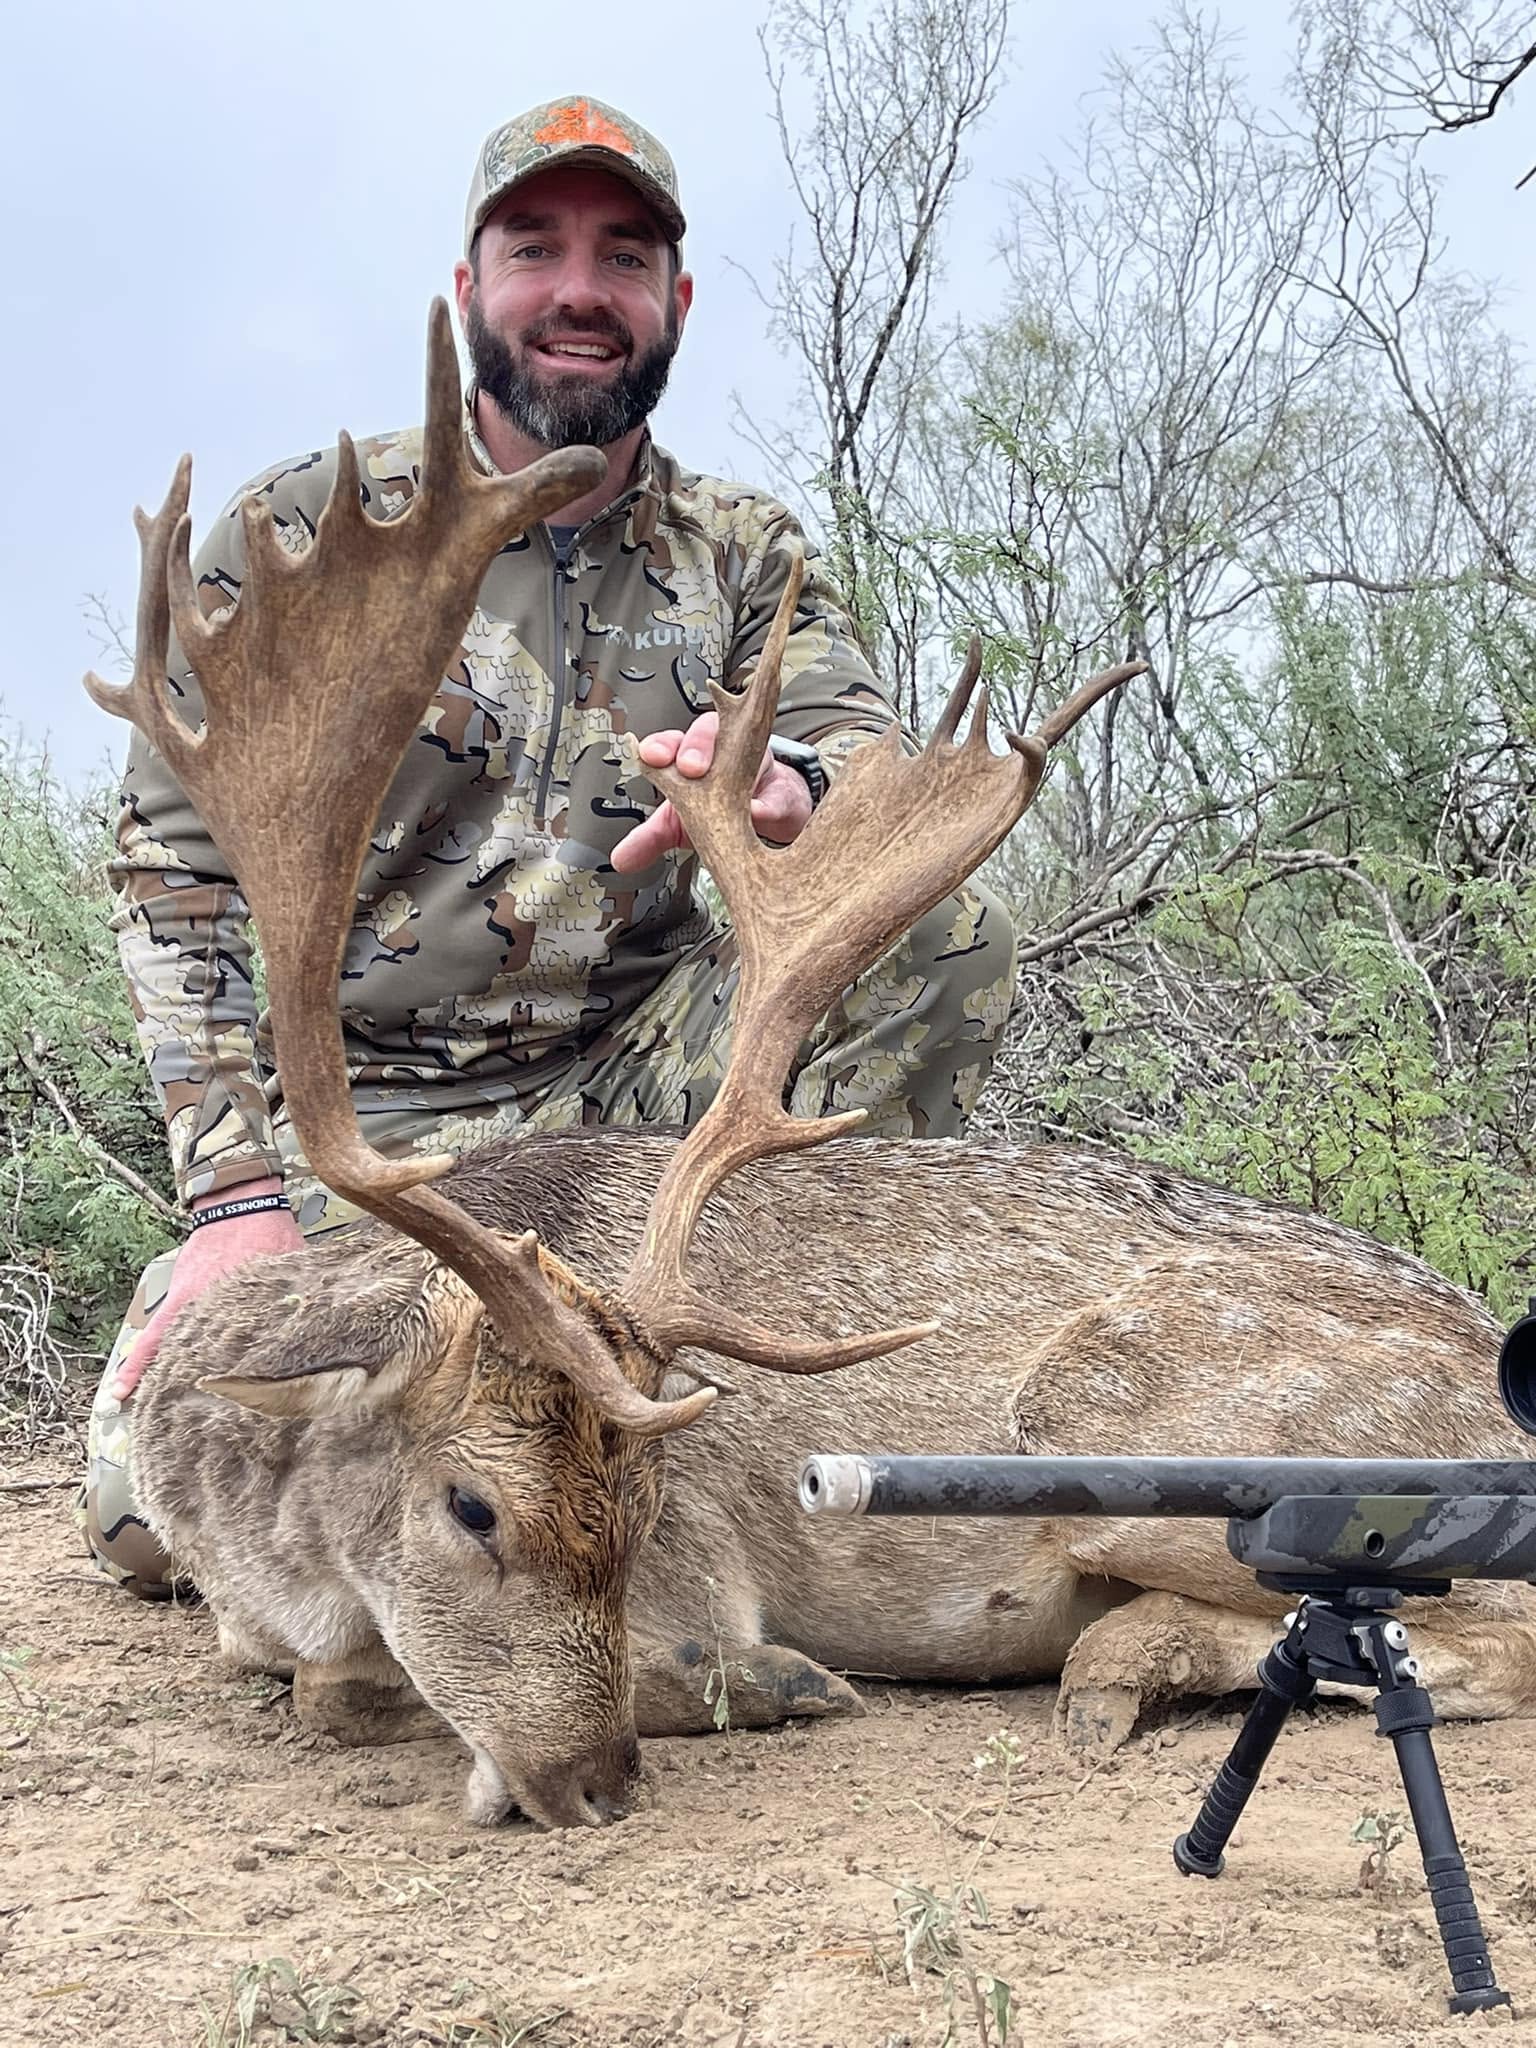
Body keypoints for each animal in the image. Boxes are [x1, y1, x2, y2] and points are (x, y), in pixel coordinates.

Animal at [86, 303, 1536, 1832]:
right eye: (471, 1507)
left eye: (643, 1512)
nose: (594, 1780)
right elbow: (315, 1682)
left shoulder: (699, 1576)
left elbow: (371, 1686)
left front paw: (768, 1681)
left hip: (1119, 1419)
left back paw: (1114, 1662)